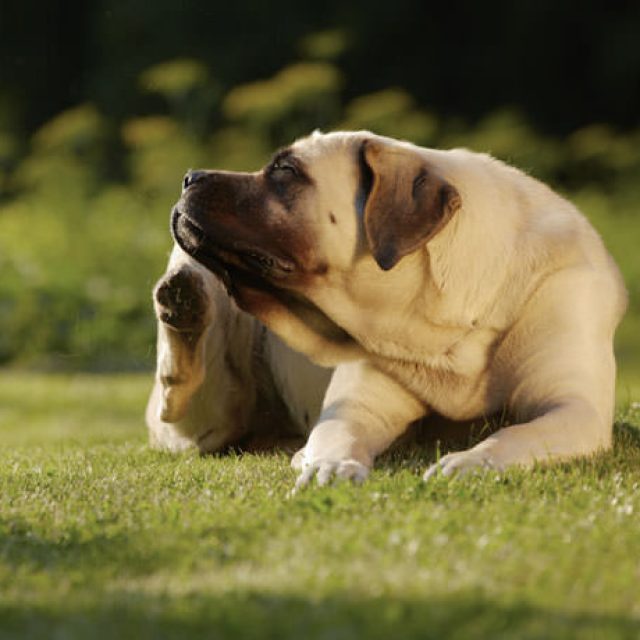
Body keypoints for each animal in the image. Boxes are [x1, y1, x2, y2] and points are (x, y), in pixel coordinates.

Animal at [145, 132, 624, 488]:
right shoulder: (357, 408)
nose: (190, 176)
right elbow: (336, 435)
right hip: (205, 415)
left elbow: (511, 435)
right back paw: (184, 300)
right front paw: (329, 465)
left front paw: (470, 462)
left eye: (285, 171)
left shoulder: (573, 408)